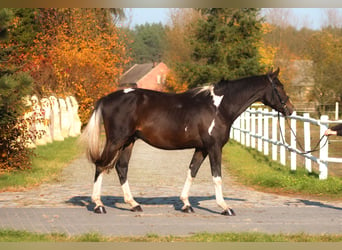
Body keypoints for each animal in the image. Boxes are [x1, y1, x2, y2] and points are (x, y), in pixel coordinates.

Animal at [80, 68, 294, 215]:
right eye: (279, 87)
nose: (290, 110)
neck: (219, 107)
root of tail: (106, 99)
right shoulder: (214, 148)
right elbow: (217, 177)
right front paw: (225, 207)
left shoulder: (201, 148)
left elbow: (192, 172)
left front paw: (186, 204)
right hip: (116, 140)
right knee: (101, 165)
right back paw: (98, 205)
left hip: (128, 142)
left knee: (121, 168)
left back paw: (134, 204)